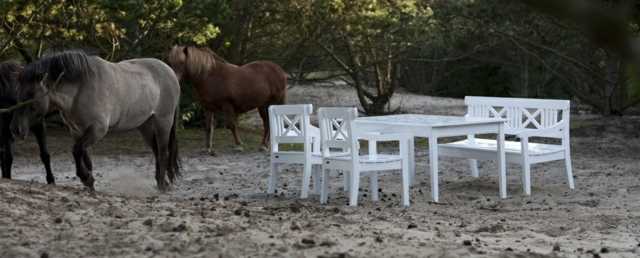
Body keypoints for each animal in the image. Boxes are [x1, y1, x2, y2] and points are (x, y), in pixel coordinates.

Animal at [10, 51, 181, 191]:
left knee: (163, 152)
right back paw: (162, 182)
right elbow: (86, 158)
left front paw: (86, 178)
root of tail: (170, 72)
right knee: (156, 151)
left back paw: (161, 186)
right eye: (16, 92)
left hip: (163, 121)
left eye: (32, 93)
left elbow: (76, 150)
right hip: (145, 126)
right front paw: (90, 184)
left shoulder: (98, 129)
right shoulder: (77, 131)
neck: (81, 87)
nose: (15, 129)